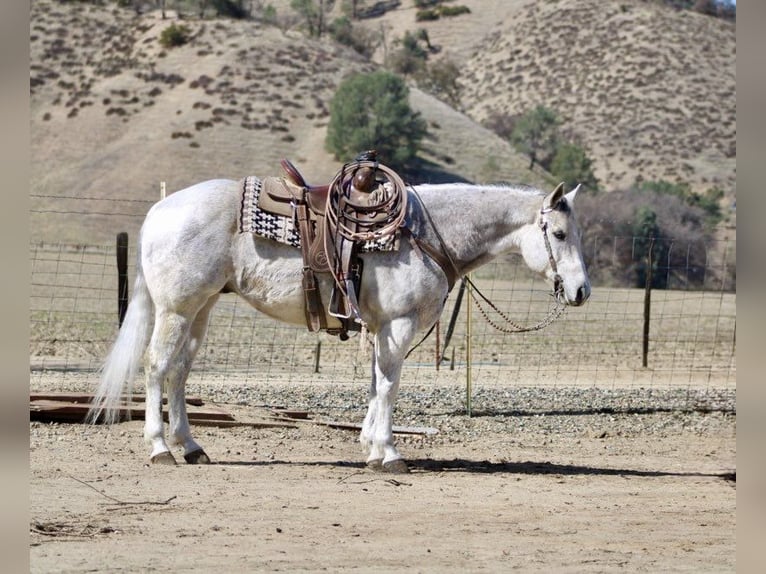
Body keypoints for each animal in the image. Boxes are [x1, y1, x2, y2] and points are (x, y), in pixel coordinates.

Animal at [88, 175, 591, 473]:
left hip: (201, 309)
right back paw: (160, 448)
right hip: (176, 308)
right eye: (559, 234)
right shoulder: (398, 326)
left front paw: (370, 445)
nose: (582, 291)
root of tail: (160, 210)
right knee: (157, 367)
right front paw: (388, 453)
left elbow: (375, 384)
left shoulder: (380, 328)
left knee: (179, 372)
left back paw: (192, 447)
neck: (424, 234)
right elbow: (389, 386)